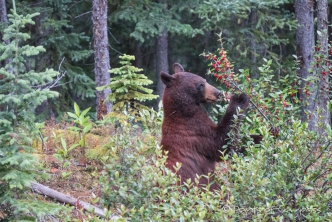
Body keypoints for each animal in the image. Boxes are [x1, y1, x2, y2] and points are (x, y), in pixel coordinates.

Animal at [160, 62, 249, 191]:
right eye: (200, 85)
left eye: (205, 80)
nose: (218, 93)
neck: (182, 112)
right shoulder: (195, 131)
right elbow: (221, 144)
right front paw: (239, 99)